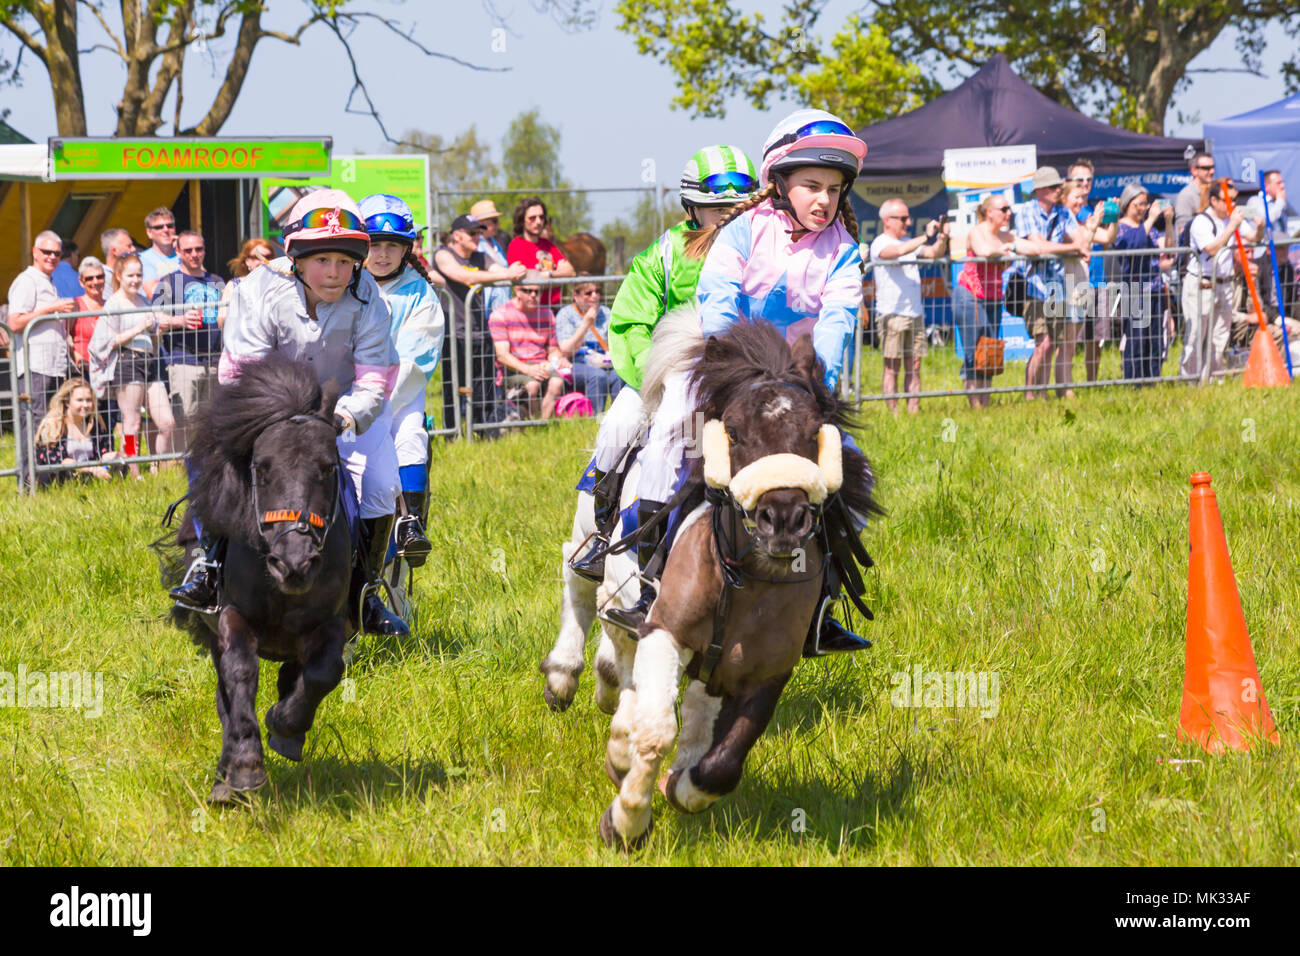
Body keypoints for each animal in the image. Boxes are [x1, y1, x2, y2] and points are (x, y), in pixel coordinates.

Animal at [162, 356, 356, 806]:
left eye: (328, 468)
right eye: (262, 469)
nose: (294, 563)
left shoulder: (332, 621)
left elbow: (324, 672)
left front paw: (284, 726)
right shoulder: (232, 618)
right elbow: (240, 675)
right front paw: (245, 767)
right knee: (225, 697)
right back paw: (225, 780)